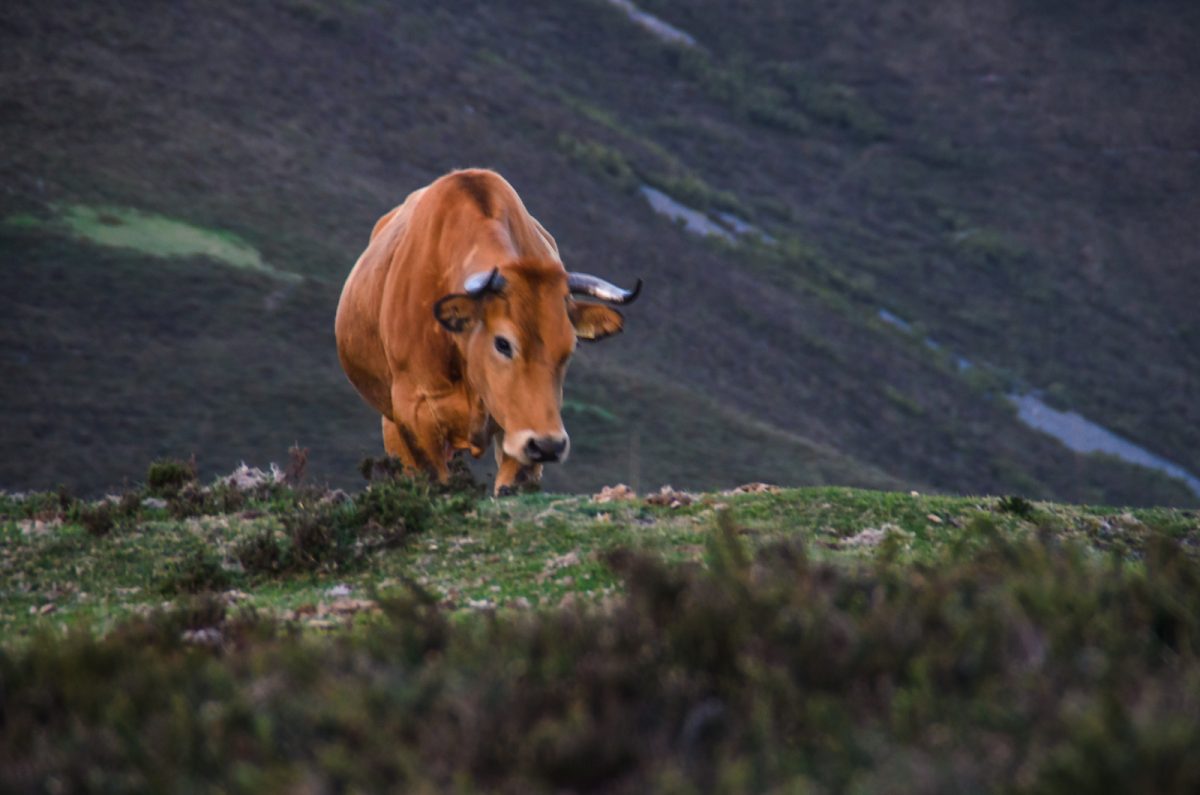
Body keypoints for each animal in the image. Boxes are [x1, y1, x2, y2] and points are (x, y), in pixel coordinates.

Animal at [333, 169, 643, 494]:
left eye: (569, 349)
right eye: (503, 343)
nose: (548, 445)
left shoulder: (522, 427)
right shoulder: (414, 413)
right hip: (391, 422)